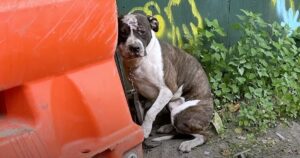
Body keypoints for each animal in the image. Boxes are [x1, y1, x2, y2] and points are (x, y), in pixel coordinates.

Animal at [117, 12, 213, 152]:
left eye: (142, 31)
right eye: (123, 33)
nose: (134, 47)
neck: (141, 62)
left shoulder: (167, 90)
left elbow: (150, 112)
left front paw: (146, 129)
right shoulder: (138, 94)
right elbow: (141, 115)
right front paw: (142, 131)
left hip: (180, 114)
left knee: (205, 134)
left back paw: (189, 143)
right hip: (172, 105)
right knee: (178, 127)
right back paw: (168, 127)